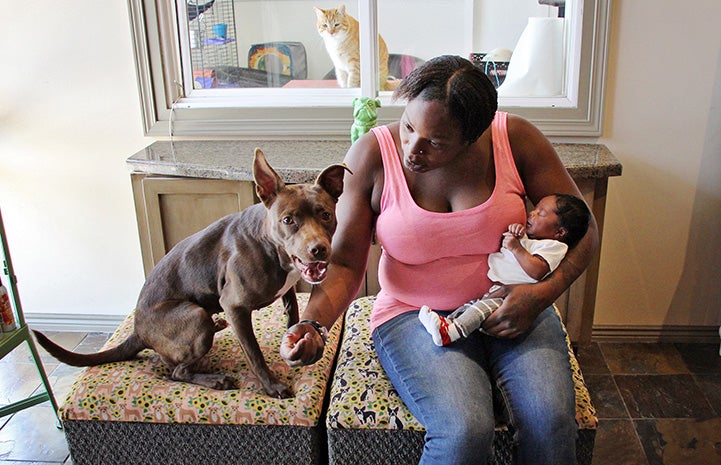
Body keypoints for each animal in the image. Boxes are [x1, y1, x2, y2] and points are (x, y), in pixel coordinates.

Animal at [33, 149, 348, 398]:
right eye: (288, 220)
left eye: (325, 214)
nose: (319, 249)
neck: (270, 244)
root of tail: (137, 330)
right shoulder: (234, 306)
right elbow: (254, 353)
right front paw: (272, 387)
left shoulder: (288, 290)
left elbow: (292, 312)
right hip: (194, 317)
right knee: (177, 371)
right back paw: (215, 379)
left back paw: (217, 326)